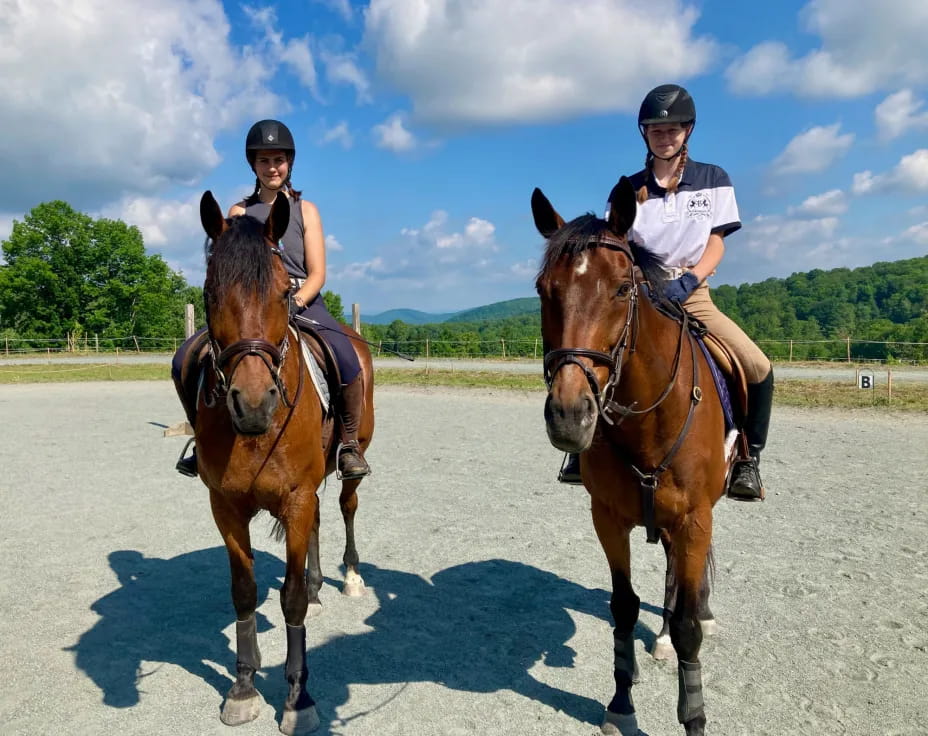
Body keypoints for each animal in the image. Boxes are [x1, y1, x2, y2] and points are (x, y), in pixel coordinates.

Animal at [185, 191, 374, 734]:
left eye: (282, 293)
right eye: (210, 293)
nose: (253, 404)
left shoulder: (295, 498)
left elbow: (288, 600)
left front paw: (297, 698)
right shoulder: (226, 507)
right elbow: (245, 592)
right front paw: (244, 688)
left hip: (350, 464)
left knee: (347, 507)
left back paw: (350, 577)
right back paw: (317, 584)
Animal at [532, 176, 728, 736]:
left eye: (623, 288)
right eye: (544, 290)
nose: (569, 415)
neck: (649, 420)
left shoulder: (694, 519)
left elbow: (688, 626)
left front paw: (693, 716)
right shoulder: (608, 518)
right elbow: (623, 608)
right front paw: (621, 702)